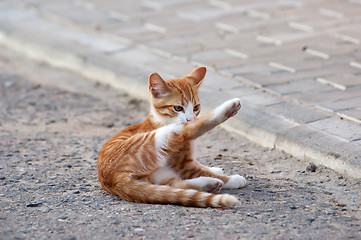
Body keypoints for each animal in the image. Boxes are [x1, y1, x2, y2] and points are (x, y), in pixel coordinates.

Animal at [97, 66, 246, 207]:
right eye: (178, 108)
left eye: (196, 107)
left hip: (160, 175)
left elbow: (202, 169)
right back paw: (228, 109)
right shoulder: (183, 165)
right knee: (190, 130)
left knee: (175, 187)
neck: (159, 119)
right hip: (161, 137)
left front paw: (214, 169)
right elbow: (200, 169)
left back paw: (209, 184)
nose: (190, 119)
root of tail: (112, 179)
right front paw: (232, 179)